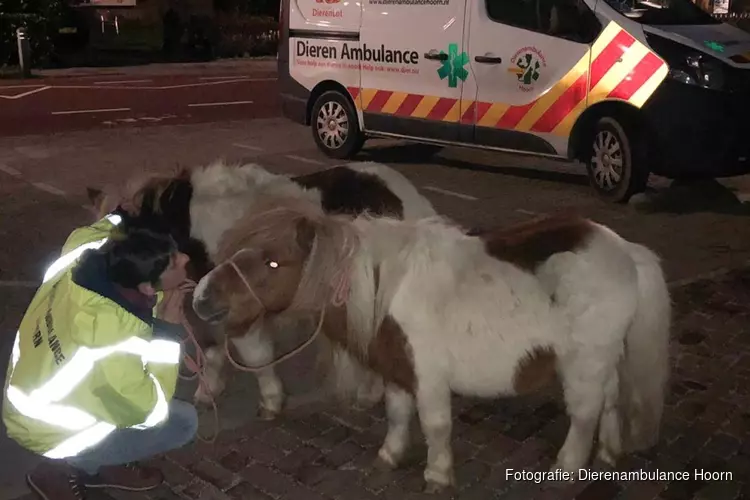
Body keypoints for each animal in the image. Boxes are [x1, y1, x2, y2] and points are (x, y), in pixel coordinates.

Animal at [86, 159, 440, 418]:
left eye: (120, 237)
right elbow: (210, 350)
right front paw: (207, 393)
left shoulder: (242, 307)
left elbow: (255, 356)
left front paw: (271, 401)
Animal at [191, 192, 672, 492]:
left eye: (273, 262)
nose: (201, 298)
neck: (384, 287)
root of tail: (626, 252)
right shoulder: (398, 371)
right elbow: (398, 415)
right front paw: (389, 455)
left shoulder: (429, 377)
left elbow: (437, 426)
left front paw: (438, 476)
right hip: (603, 359)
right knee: (610, 400)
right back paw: (608, 454)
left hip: (583, 363)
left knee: (585, 413)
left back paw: (567, 469)